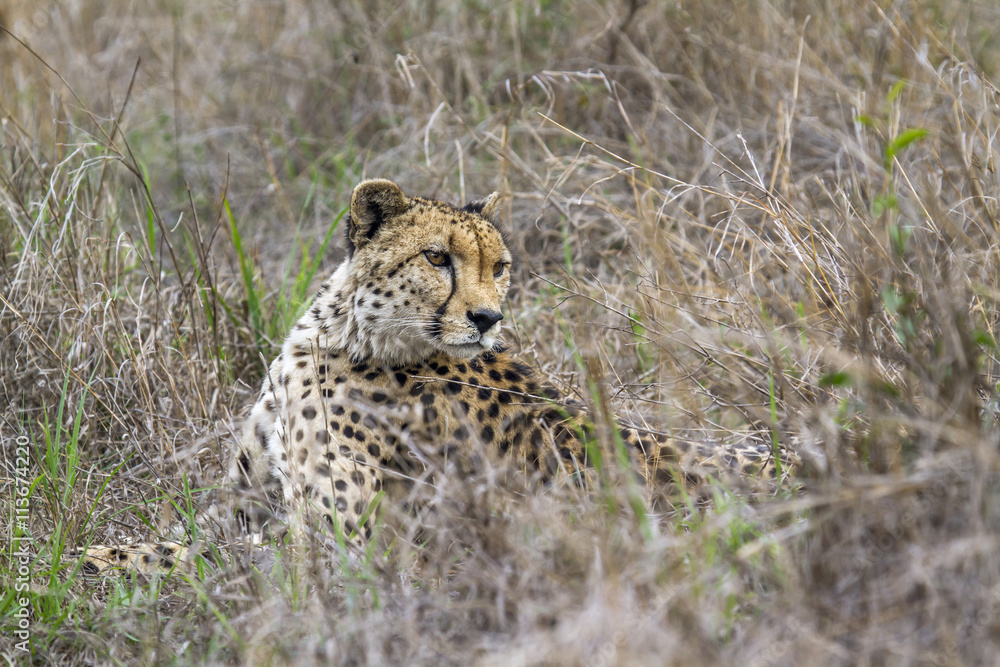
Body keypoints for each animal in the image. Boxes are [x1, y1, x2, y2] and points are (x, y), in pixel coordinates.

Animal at [78, 179, 795, 575]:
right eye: (436, 258)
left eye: (499, 266)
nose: (487, 317)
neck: (345, 332)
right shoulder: (244, 502)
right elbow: (187, 534)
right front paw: (89, 553)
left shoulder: (341, 541)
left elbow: (204, 557)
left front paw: (88, 563)